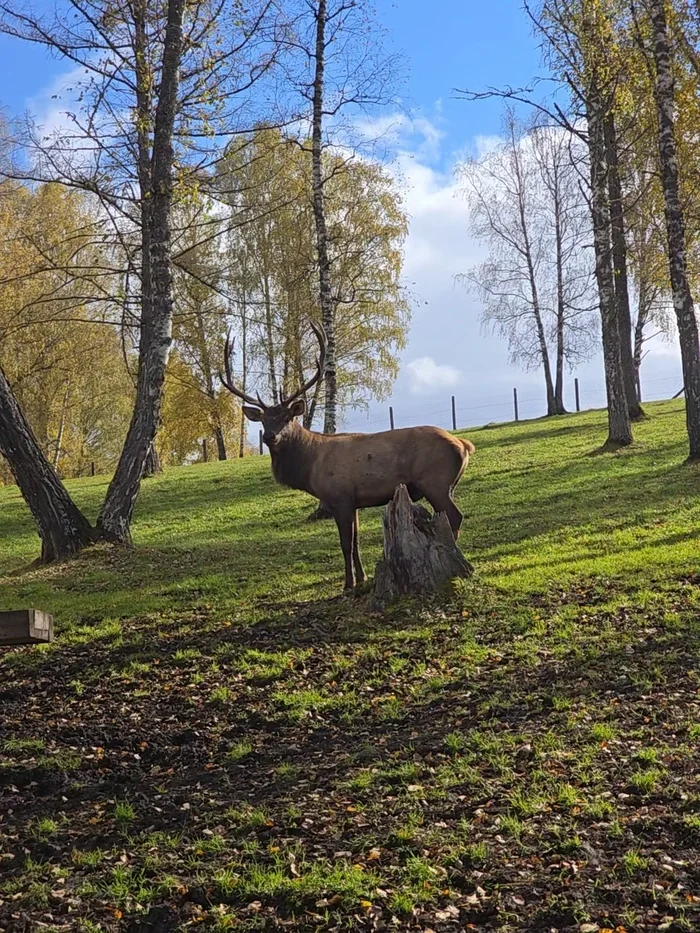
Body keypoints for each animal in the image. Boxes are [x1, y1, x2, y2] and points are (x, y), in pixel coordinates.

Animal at [224, 322, 476, 588]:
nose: (269, 437)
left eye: (287, 417)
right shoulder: (353, 501)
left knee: (455, 516)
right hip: (445, 485)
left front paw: (348, 584)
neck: (310, 467)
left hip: (435, 482)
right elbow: (355, 542)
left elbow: (345, 543)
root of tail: (464, 444)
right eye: (264, 420)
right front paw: (362, 577)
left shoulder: (340, 497)